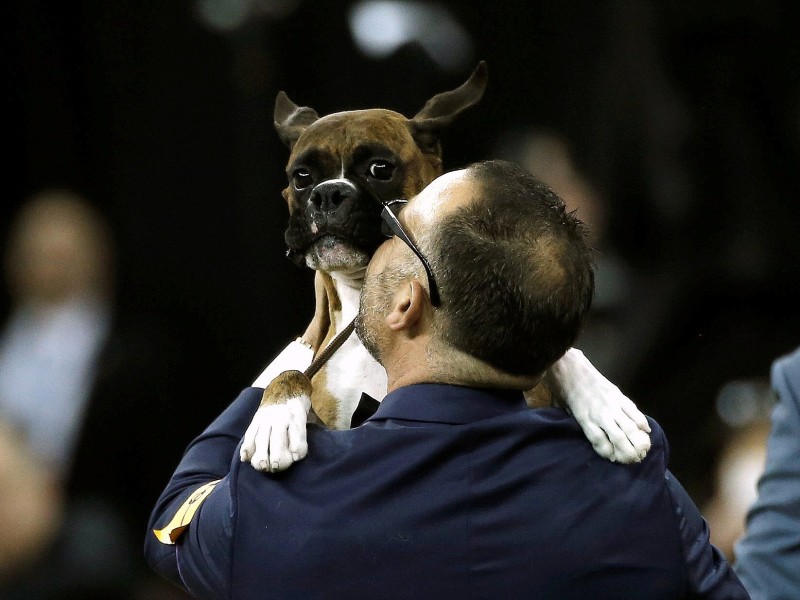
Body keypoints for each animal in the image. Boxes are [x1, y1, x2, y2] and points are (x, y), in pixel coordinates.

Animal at [239, 62, 648, 474]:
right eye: (302, 177)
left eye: (379, 168)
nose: (327, 193)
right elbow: (290, 372)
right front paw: (274, 419)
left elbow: (563, 354)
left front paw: (603, 401)